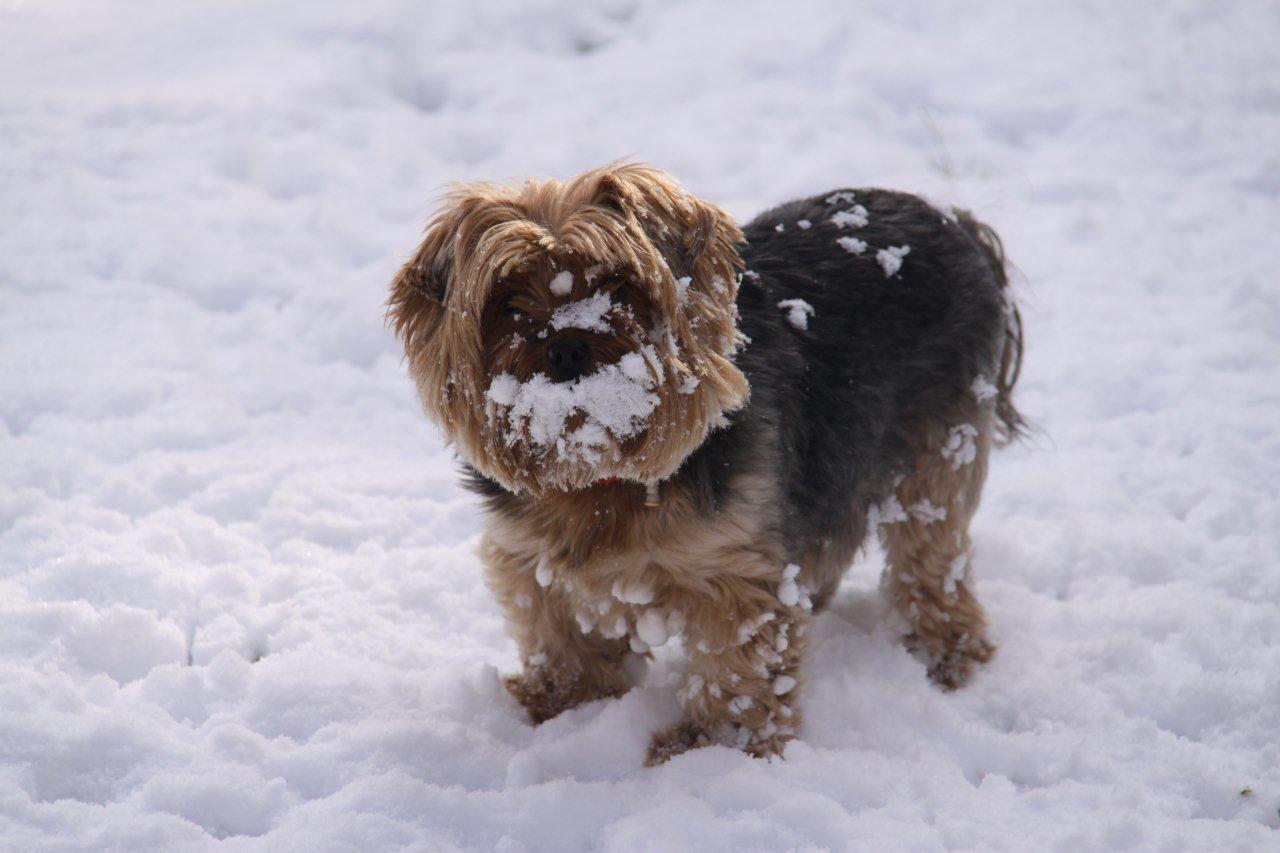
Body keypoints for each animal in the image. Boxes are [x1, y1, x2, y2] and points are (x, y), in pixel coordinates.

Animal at [384, 162, 1024, 758]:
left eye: (617, 284)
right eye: (507, 301)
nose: (565, 346)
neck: (601, 477)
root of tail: (956, 222)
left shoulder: (733, 566)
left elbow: (736, 665)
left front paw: (715, 748)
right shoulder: (531, 559)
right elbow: (558, 634)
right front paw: (565, 706)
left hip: (939, 443)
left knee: (930, 550)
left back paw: (947, 652)